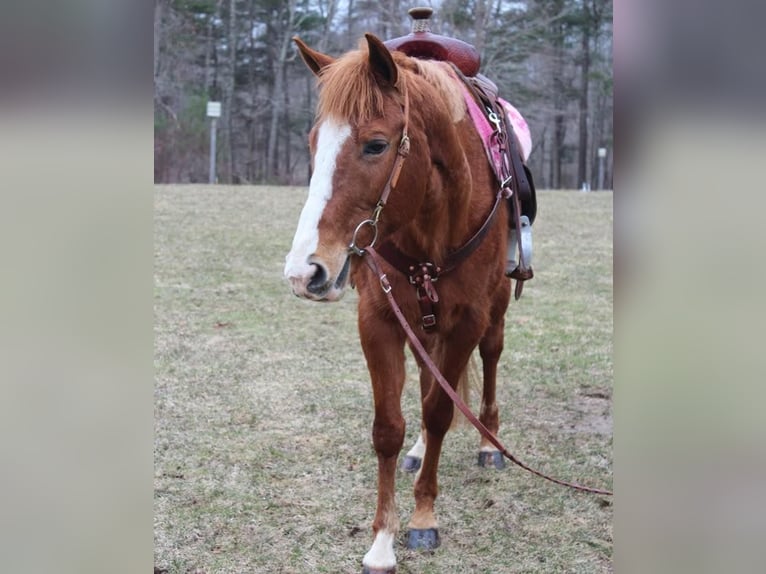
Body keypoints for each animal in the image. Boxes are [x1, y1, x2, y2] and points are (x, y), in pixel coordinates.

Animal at [284, 33, 532, 573]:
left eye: (376, 145)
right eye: (313, 144)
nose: (305, 272)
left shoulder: (466, 322)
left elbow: (440, 411)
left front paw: (423, 518)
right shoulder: (378, 319)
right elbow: (389, 427)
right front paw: (382, 540)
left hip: (496, 306)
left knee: (491, 356)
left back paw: (488, 441)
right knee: (425, 376)